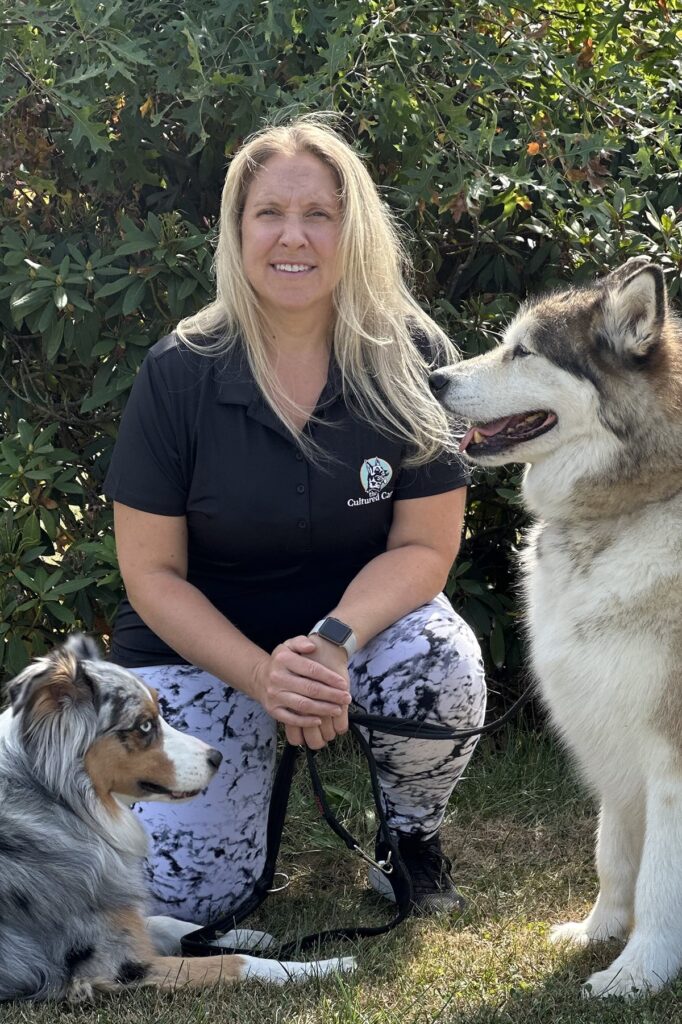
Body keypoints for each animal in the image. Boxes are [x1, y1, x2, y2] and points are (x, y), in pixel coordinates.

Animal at [0, 634, 350, 1003]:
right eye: (144, 725)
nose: (217, 757)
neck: (59, 803)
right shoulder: (114, 966)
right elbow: (235, 962)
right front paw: (326, 966)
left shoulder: (125, 920)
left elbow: (169, 923)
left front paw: (244, 934)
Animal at [430, 258, 679, 999]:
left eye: (525, 351)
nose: (435, 379)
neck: (626, 508)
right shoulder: (609, 728)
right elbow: (613, 855)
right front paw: (599, 933)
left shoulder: (669, 757)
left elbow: (660, 880)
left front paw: (638, 972)